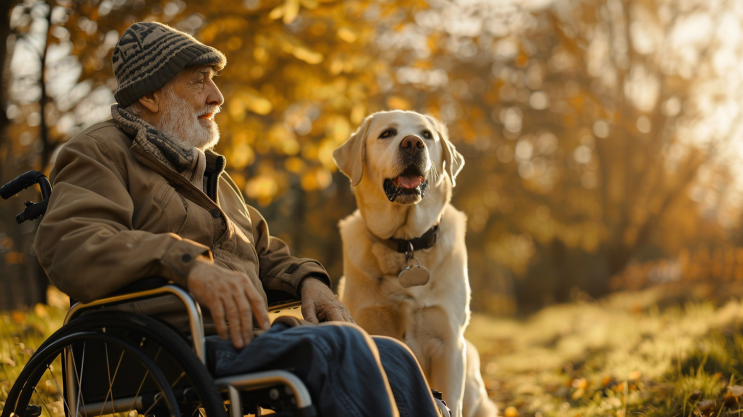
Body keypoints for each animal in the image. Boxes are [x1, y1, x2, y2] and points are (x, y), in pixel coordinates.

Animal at [334, 110, 496, 416]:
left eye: (426, 135)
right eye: (386, 134)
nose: (412, 143)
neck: (406, 244)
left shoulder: (449, 342)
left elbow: (450, 402)